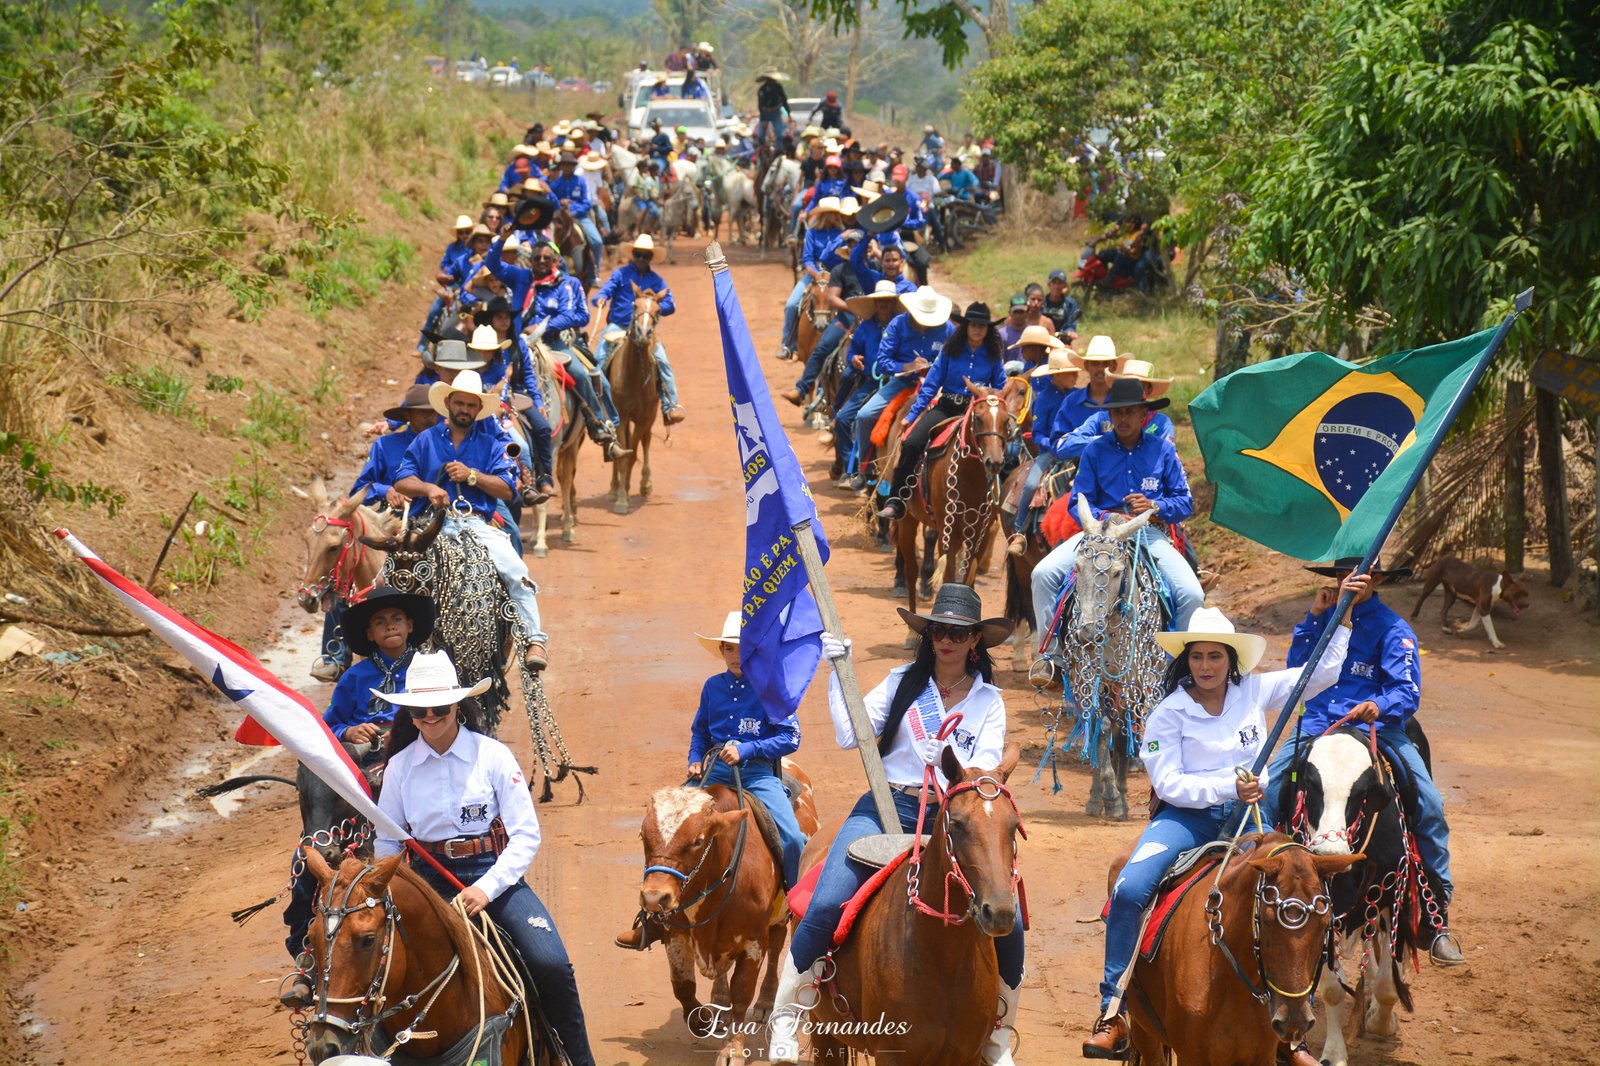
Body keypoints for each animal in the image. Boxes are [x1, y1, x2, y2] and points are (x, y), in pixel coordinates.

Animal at [604, 285, 662, 515]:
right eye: (634, 306)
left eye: (658, 310)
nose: (644, 333)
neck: (635, 376)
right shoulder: (620, 415)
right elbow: (622, 453)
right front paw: (620, 497)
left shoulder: (643, 417)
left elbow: (633, 453)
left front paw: (626, 494)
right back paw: (613, 488)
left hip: (650, 417)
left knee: (645, 441)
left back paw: (645, 484)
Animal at [633, 759, 820, 1065]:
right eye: (642, 835)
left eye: (698, 840)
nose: (654, 898)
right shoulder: (676, 934)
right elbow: (682, 985)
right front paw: (702, 1021)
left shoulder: (753, 941)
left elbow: (742, 993)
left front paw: (733, 1048)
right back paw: (720, 1002)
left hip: (781, 916)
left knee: (777, 946)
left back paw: (766, 1001)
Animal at [888, 387, 1018, 617]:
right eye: (978, 418)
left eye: (1005, 421)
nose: (994, 462)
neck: (971, 477)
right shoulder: (949, 534)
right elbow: (949, 578)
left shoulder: (979, 536)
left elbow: (967, 581)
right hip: (907, 520)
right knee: (911, 570)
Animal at [1039, 497, 1168, 821]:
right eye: (1077, 567)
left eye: (1117, 572)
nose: (1087, 633)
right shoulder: (1086, 678)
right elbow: (1101, 730)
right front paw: (1102, 796)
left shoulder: (1132, 682)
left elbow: (1122, 734)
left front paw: (1119, 797)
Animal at [1118, 833, 1362, 1066]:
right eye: (1266, 920)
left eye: (1325, 923)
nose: (1294, 1020)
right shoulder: (1191, 1056)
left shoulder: (1263, 1057)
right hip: (1142, 1029)